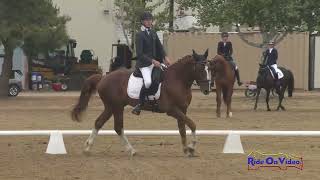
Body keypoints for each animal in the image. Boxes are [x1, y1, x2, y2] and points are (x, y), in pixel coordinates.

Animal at [72, 50, 211, 157]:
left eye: (209, 69)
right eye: (200, 68)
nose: (207, 90)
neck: (178, 80)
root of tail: (103, 77)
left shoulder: (182, 109)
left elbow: (182, 128)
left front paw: (186, 150)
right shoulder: (171, 110)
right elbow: (192, 124)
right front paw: (191, 147)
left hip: (111, 107)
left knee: (100, 123)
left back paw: (88, 148)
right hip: (116, 107)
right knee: (117, 127)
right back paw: (131, 150)